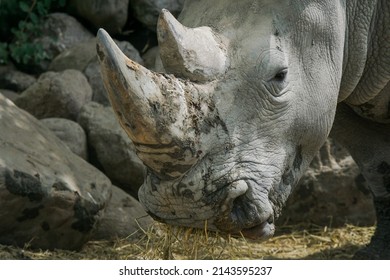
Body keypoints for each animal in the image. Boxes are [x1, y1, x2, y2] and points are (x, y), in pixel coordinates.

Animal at [96, 0, 388, 260]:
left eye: (280, 75)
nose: (185, 208)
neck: (349, 9)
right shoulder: (342, 80)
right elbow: (375, 162)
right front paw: (373, 255)